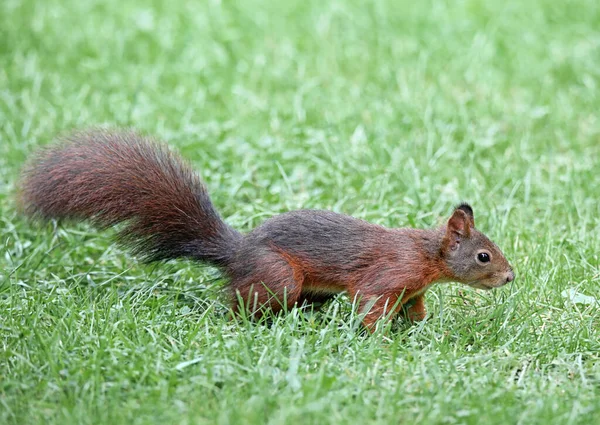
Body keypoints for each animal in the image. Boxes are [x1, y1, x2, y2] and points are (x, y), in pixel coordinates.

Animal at [18, 129, 516, 328]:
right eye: (484, 255)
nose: (511, 277)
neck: (427, 255)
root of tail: (236, 253)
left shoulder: (413, 289)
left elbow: (415, 311)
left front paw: (419, 332)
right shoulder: (387, 277)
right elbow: (370, 307)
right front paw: (376, 340)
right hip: (279, 275)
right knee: (242, 304)